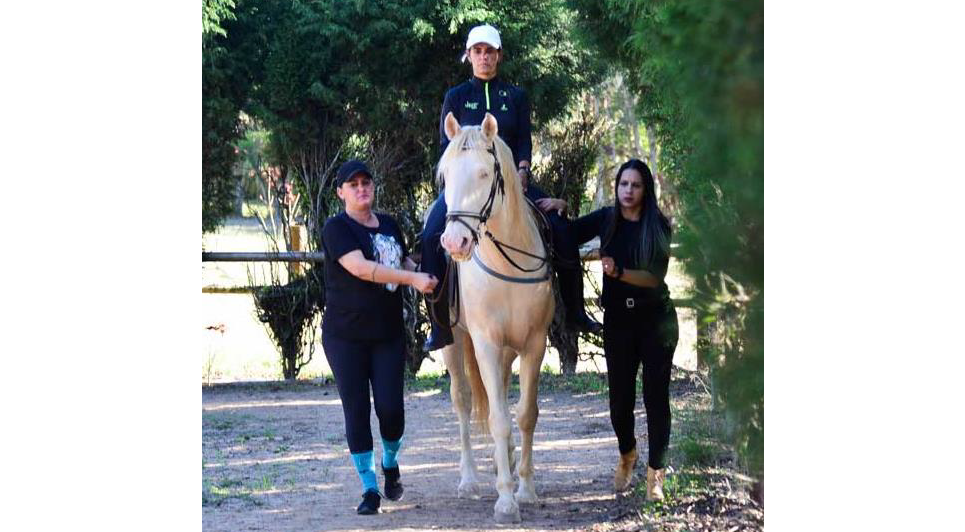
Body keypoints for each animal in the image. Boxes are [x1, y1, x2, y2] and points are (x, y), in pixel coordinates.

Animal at [434, 112, 548, 524]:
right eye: (445, 175)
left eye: (485, 174)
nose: (455, 243)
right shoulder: (484, 342)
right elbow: (498, 418)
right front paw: (505, 500)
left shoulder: (534, 344)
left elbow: (526, 414)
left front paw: (526, 489)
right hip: (454, 342)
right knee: (463, 400)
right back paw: (469, 479)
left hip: (508, 352)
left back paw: (508, 463)